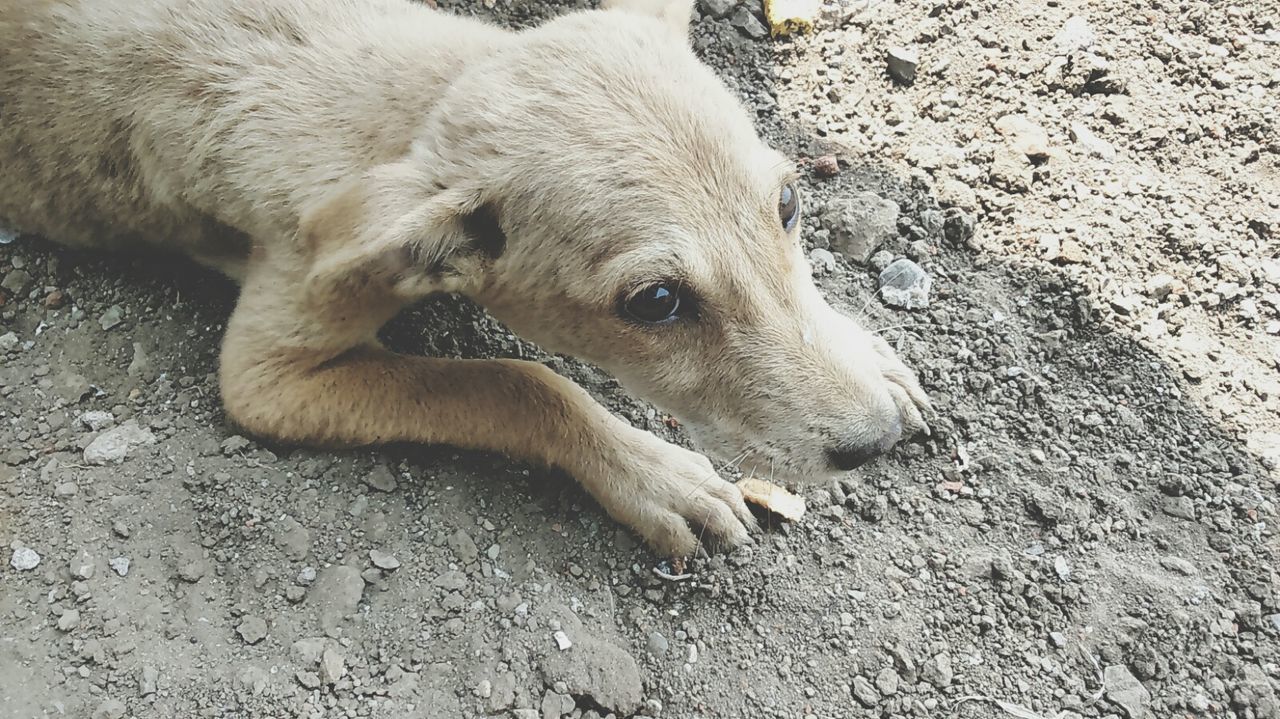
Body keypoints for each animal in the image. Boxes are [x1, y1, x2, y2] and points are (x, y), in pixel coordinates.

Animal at [0, 0, 926, 555]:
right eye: (657, 301)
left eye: (789, 202)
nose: (872, 441)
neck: (409, 92)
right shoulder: (265, 374)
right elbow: (517, 381)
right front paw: (652, 473)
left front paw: (866, 353)